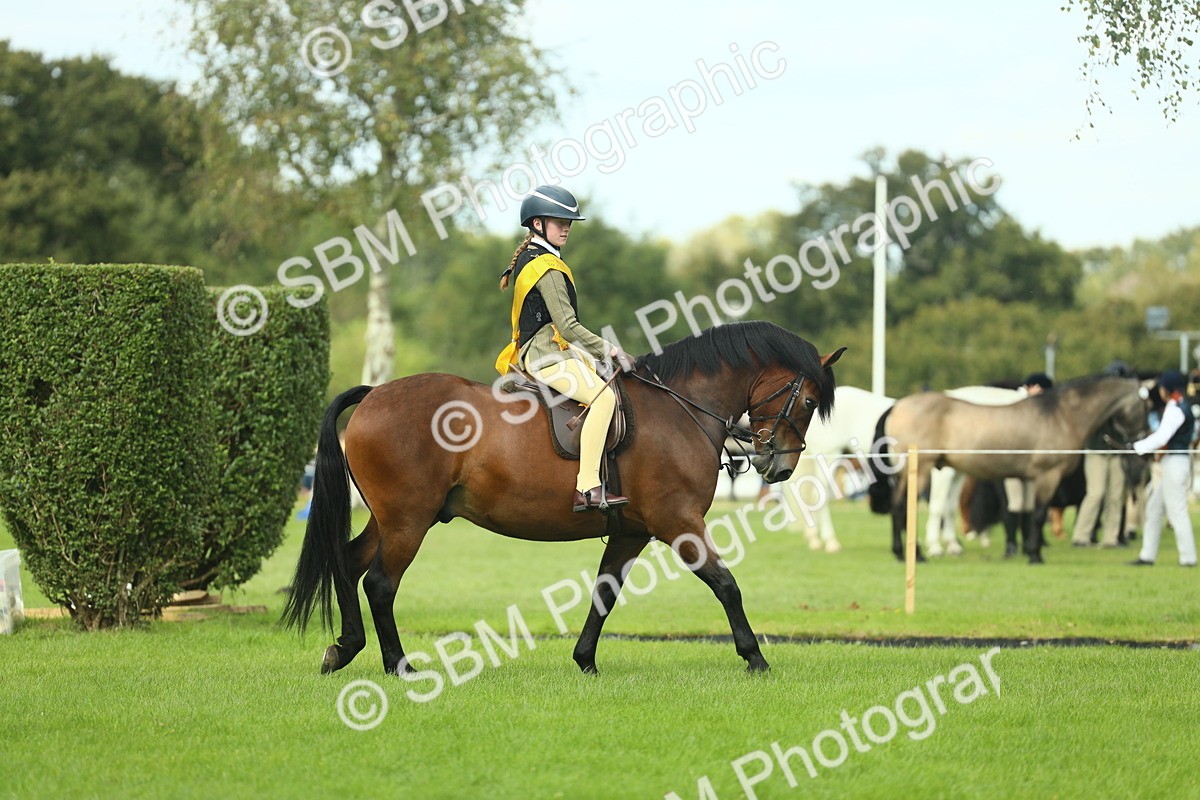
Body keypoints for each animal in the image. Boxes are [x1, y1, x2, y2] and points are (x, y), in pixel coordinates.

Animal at [281, 321, 845, 675]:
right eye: (808, 401)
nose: (781, 466)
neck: (680, 407)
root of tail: (375, 392)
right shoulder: (679, 524)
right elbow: (727, 585)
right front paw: (755, 657)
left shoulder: (632, 533)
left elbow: (604, 593)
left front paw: (585, 660)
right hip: (408, 521)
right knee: (380, 583)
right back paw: (398, 666)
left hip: (389, 519)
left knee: (348, 562)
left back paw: (344, 649)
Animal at [868, 376, 1148, 564]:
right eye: (1145, 407)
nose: (1143, 443)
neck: (1062, 415)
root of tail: (897, 406)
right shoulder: (1048, 476)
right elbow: (1038, 514)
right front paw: (1035, 556)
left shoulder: (1029, 479)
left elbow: (1028, 514)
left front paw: (1031, 550)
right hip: (920, 471)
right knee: (902, 508)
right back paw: (914, 555)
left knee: (899, 508)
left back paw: (903, 552)